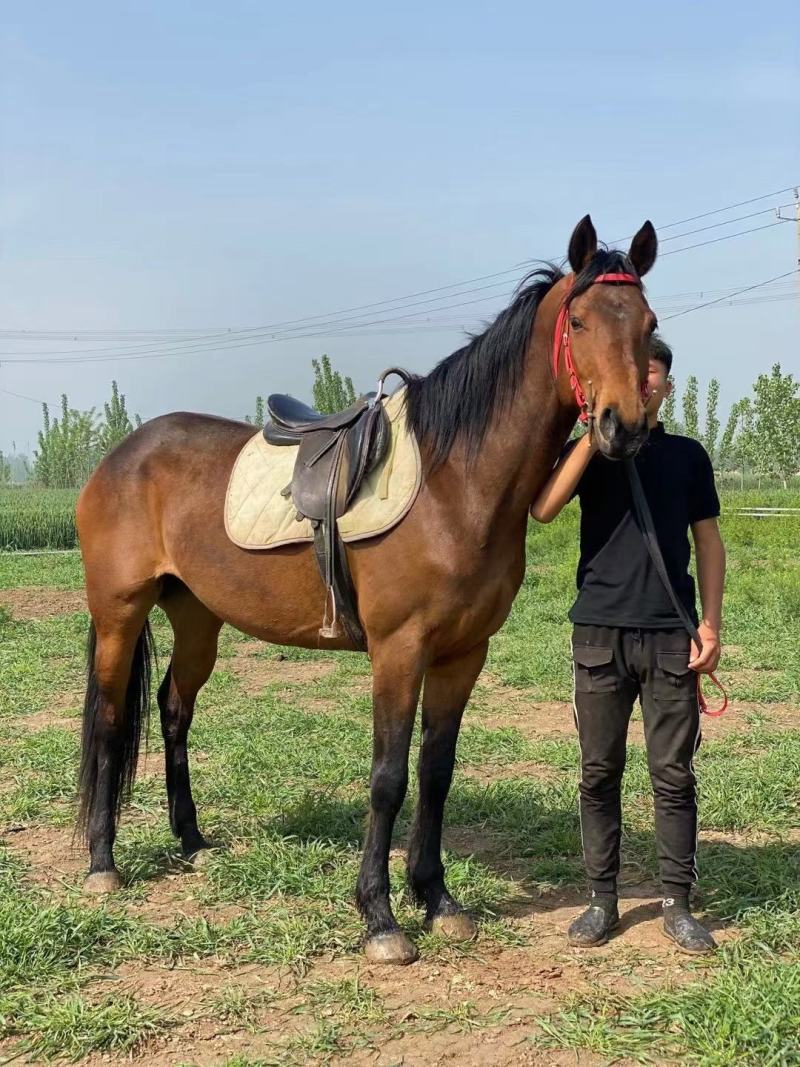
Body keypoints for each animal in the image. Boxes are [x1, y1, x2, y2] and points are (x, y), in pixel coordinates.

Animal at [75, 215, 658, 964]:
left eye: (648, 324)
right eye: (580, 321)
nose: (624, 426)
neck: (454, 481)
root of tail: (119, 456)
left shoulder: (463, 654)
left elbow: (436, 771)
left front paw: (437, 899)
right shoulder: (398, 650)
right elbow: (388, 777)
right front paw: (380, 917)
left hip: (197, 616)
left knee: (175, 709)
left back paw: (192, 841)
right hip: (120, 612)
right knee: (111, 721)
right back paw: (103, 864)